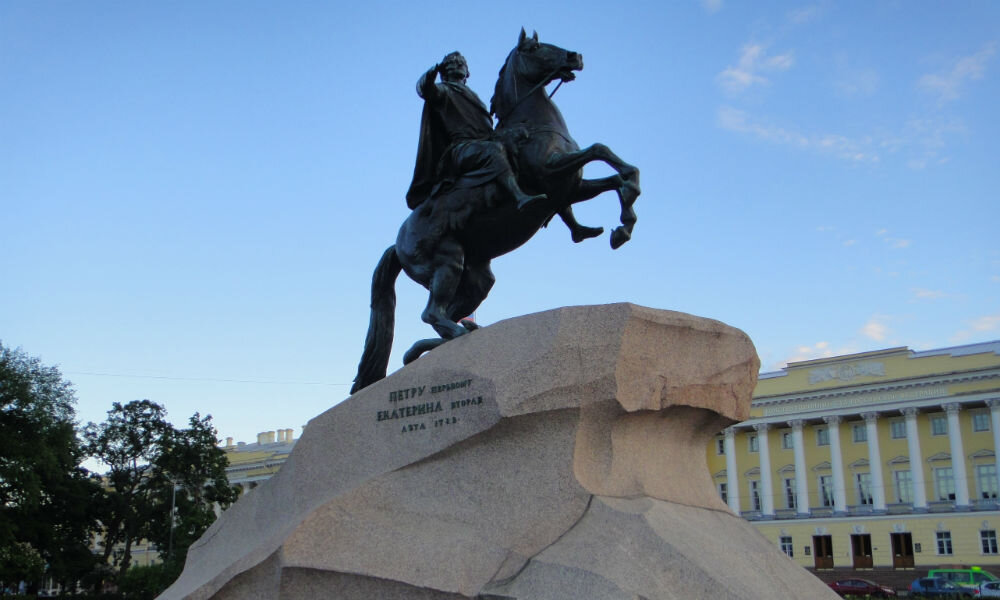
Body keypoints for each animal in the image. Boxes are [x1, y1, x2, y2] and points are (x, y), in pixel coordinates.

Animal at [352, 29, 644, 394]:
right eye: (535, 47)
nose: (575, 56)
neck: (532, 124)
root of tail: (397, 242)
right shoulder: (551, 172)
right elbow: (600, 150)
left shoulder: (571, 188)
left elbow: (616, 175)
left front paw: (623, 226)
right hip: (447, 263)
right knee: (432, 312)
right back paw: (452, 335)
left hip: (476, 280)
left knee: (445, 316)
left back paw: (431, 346)